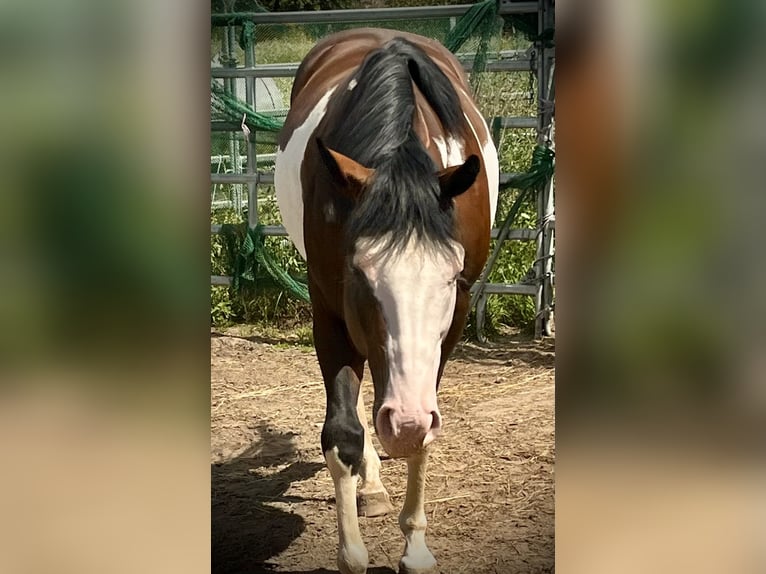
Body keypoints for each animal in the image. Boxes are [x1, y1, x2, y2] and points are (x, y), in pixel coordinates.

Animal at [274, 28, 498, 574]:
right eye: (360, 272)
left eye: (452, 277)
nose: (404, 421)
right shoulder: (330, 310)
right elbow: (343, 431)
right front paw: (351, 552)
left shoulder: (452, 324)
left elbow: (424, 437)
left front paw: (415, 549)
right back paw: (371, 484)